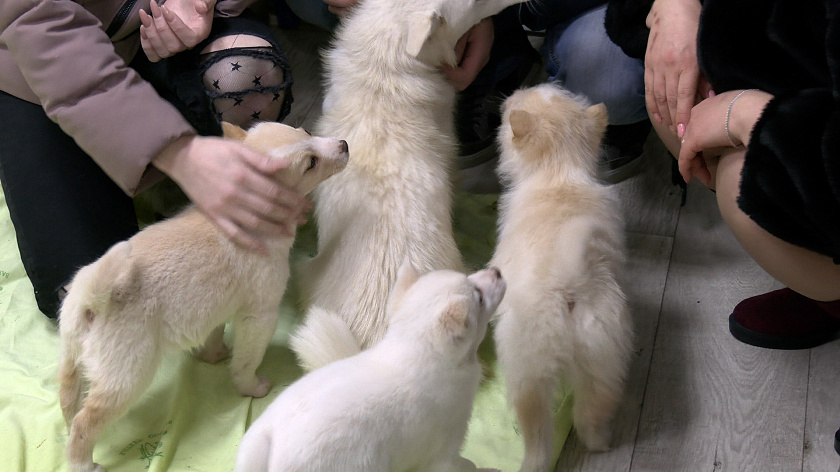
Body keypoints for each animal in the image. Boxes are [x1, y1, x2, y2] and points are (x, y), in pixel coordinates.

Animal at [57, 121, 348, 472]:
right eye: (311, 163)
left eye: (304, 130)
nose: (345, 145)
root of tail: (89, 300)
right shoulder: (260, 316)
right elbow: (247, 361)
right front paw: (252, 387)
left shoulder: (214, 310)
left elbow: (214, 335)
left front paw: (215, 355)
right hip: (127, 375)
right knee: (86, 423)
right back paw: (83, 463)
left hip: (71, 354)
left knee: (68, 399)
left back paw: (67, 428)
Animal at [233, 264, 506, 470]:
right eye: (479, 298)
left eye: (469, 277)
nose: (497, 270)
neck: (411, 350)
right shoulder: (444, 451)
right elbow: (463, 464)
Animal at [488, 83, 632, 470]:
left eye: (512, 105)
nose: (515, 90)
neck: (559, 172)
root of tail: (568, 284)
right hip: (602, 360)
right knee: (590, 417)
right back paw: (602, 444)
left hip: (527, 375)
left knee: (538, 433)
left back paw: (530, 460)